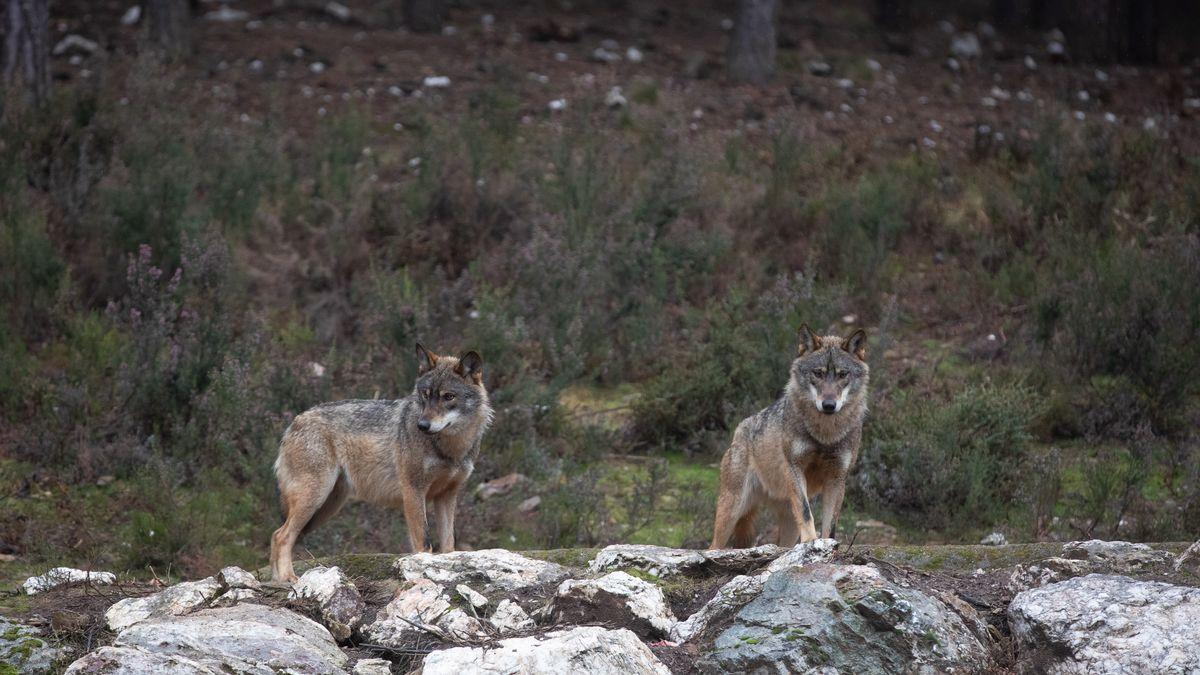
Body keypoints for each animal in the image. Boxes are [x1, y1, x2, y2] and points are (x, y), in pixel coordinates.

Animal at [271, 341, 492, 578]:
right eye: (425, 394)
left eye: (448, 396)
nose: (422, 426)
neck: (451, 448)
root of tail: (294, 422)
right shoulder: (413, 490)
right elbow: (424, 542)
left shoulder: (447, 495)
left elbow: (448, 545)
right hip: (314, 499)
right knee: (281, 536)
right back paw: (288, 579)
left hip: (326, 507)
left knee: (277, 534)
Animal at [705, 324, 868, 550]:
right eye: (818, 373)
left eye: (843, 374)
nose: (828, 405)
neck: (825, 435)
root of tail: (739, 429)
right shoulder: (795, 466)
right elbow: (806, 512)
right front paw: (810, 542)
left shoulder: (837, 478)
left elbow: (831, 524)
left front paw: (826, 545)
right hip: (732, 510)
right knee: (713, 546)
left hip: (787, 522)